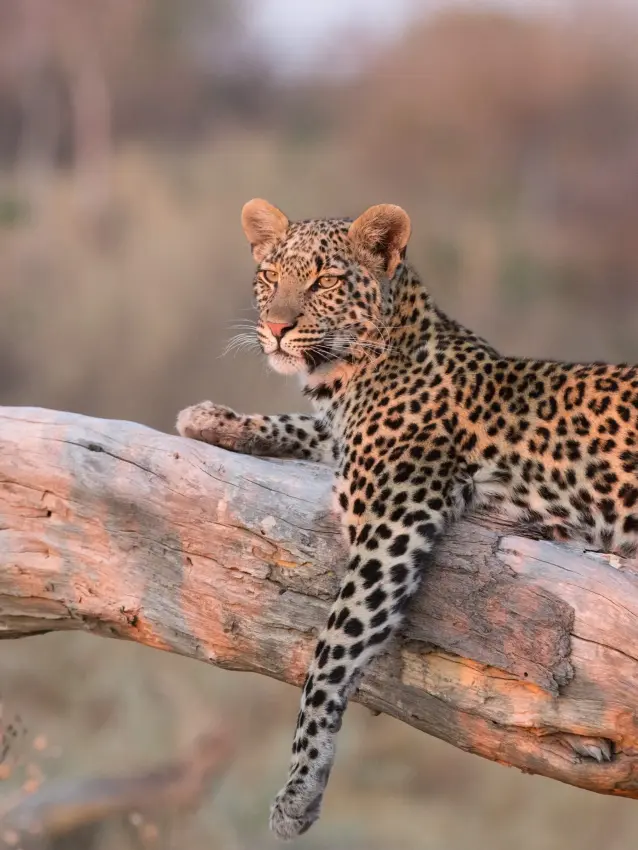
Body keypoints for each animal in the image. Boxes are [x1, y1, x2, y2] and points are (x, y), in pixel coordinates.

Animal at [176, 199, 638, 840]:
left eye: (323, 281)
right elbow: (306, 428)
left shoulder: (390, 529)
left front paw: (299, 791)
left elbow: (329, 654)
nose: (277, 327)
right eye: (270, 276)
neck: (351, 375)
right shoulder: (344, 443)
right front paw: (210, 418)